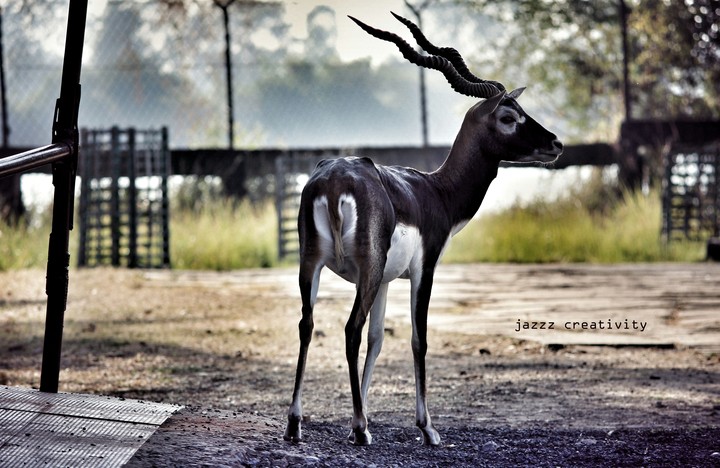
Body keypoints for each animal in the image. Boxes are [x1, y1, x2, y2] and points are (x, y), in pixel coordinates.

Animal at [283, 12, 563, 447]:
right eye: (508, 117)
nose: (556, 144)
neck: (437, 191)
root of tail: (332, 182)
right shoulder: (423, 269)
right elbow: (418, 338)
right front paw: (426, 427)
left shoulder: (384, 280)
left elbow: (378, 339)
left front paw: (360, 418)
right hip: (364, 269)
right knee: (349, 329)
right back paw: (361, 431)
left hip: (313, 265)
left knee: (307, 325)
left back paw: (297, 424)